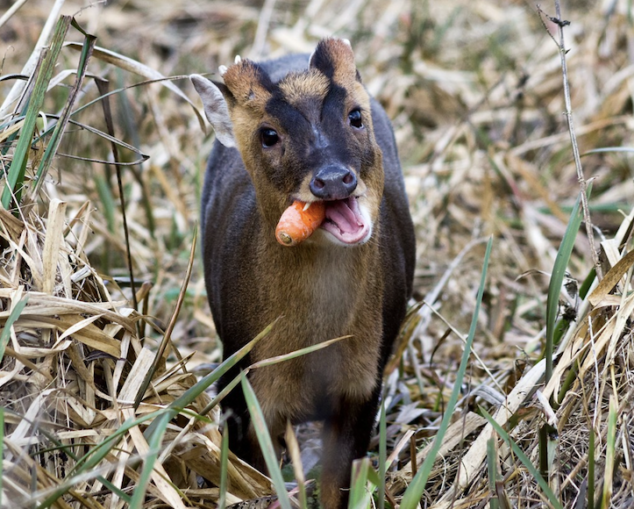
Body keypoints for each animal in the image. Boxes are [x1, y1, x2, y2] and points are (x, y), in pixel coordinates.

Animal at [190, 37, 412, 506]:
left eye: (355, 116)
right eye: (268, 134)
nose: (333, 179)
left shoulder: (362, 386)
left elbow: (337, 487)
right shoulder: (243, 388)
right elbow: (258, 481)